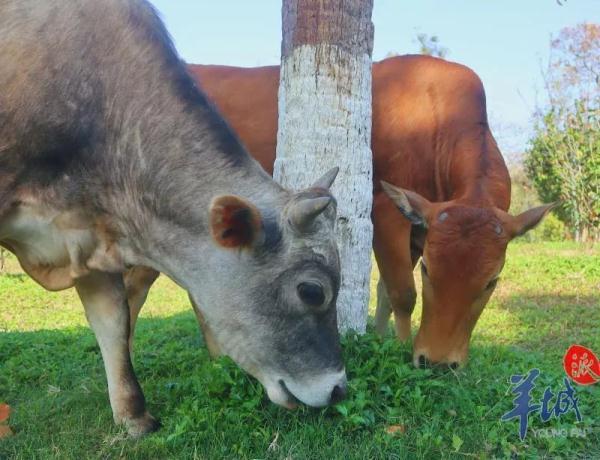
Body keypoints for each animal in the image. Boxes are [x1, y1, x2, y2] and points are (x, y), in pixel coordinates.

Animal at [129, 54, 556, 370]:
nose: (437, 362)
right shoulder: (386, 212)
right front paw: (400, 348)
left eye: (491, 281)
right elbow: (402, 293)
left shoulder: (421, 227)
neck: (436, 123)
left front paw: (382, 338)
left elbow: (385, 292)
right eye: (430, 272)